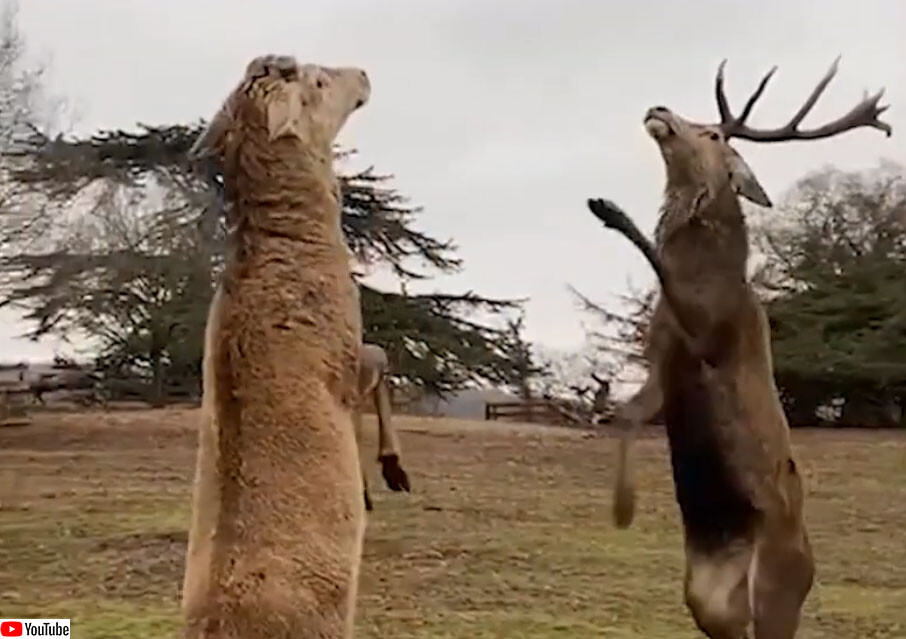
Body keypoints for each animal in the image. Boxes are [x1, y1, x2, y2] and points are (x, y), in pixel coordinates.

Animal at [588, 56, 888, 639]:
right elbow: (626, 414)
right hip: (710, 602)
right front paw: (621, 509)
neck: (715, 277)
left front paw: (611, 211)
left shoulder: (710, 335)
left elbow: (661, 266)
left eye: (711, 133)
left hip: (773, 591)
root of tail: (809, 574)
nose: (659, 109)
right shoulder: (662, 363)